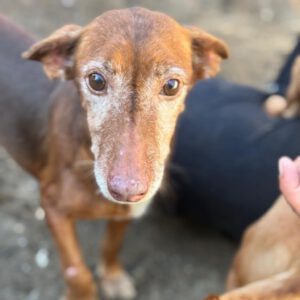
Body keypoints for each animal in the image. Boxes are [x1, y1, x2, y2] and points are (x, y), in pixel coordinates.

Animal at [0, 7, 227, 300]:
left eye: (172, 86)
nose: (127, 191)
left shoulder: (126, 213)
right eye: (96, 80)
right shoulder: (52, 207)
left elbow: (112, 243)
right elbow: (77, 272)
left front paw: (112, 276)